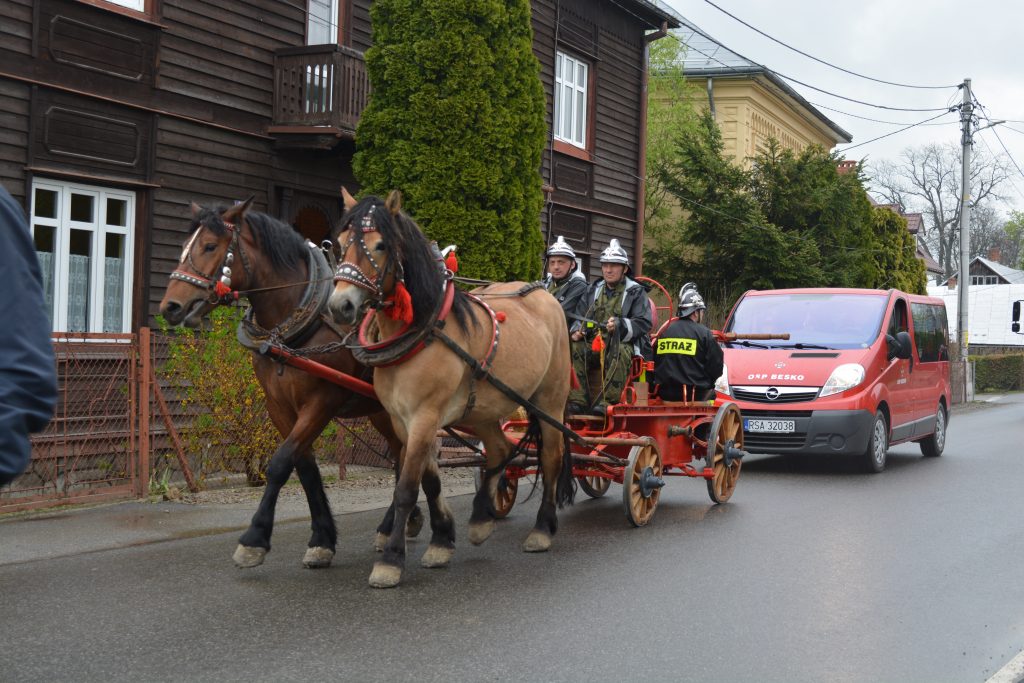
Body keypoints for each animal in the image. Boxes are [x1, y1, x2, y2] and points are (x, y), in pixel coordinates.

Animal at [158, 198, 426, 570]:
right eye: (184, 246)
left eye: (210, 246)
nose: (170, 306)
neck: (294, 326)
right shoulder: (279, 407)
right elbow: (305, 467)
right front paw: (322, 540)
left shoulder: (321, 403)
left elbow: (280, 463)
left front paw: (254, 539)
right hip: (381, 411)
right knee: (401, 455)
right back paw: (399, 524)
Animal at [326, 188, 574, 589]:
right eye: (341, 243)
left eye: (380, 245)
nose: (341, 305)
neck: (423, 331)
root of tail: (545, 295)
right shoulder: (404, 421)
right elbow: (429, 480)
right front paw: (442, 540)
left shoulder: (426, 416)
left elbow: (407, 487)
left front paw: (391, 560)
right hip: (483, 408)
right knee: (500, 448)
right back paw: (482, 519)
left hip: (549, 402)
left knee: (551, 457)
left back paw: (541, 529)